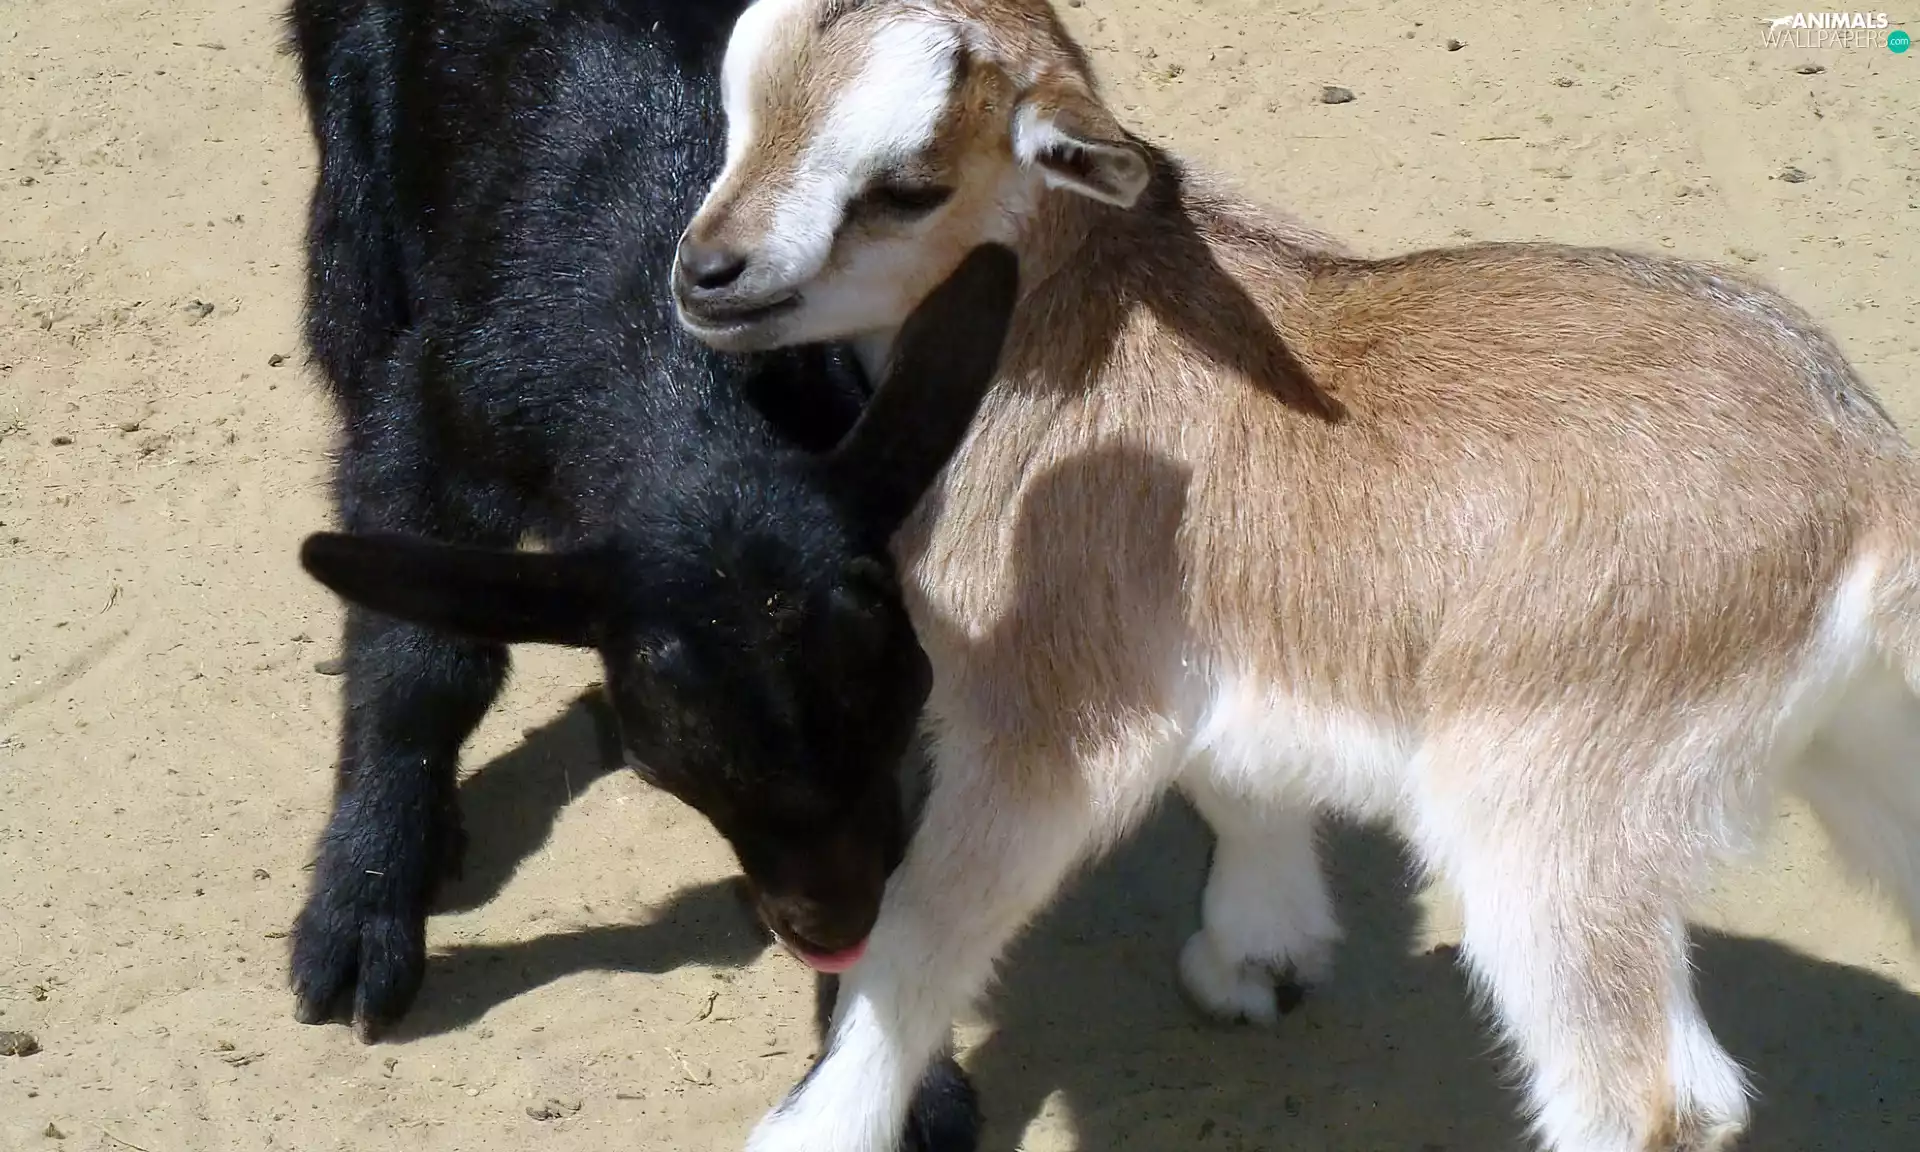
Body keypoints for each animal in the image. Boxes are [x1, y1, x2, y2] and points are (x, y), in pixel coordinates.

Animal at [284, 2, 1016, 1144]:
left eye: (904, 718)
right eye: (675, 768)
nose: (836, 929)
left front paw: (897, 1061)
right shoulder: (433, 421)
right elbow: (421, 662)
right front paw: (364, 898)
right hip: (353, 208)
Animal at [665, 2, 1920, 1150]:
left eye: (908, 187)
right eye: (742, 107)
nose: (706, 274)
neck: (1074, 309)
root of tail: (1866, 476)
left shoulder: (1045, 713)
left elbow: (924, 931)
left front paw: (817, 1129)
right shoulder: (1195, 648)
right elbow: (1237, 772)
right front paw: (1260, 955)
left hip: (1558, 796)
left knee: (1657, 1098)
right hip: (1860, 747)